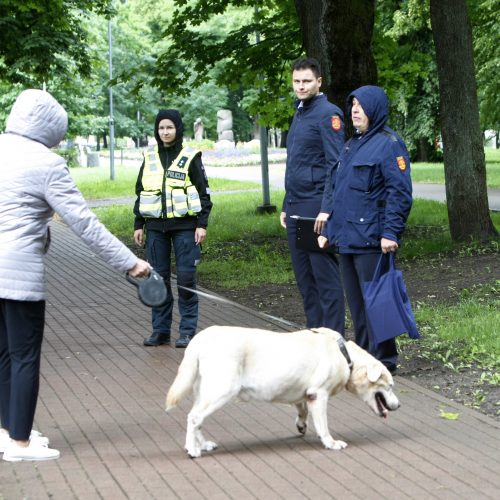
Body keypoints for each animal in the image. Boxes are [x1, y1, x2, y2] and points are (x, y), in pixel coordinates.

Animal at [166, 324, 400, 458]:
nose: (398, 405)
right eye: (389, 386)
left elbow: (302, 409)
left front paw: (301, 425)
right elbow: (323, 425)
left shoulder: (304, 393)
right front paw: (331, 443)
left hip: (205, 391)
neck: (345, 355)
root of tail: (199, 339)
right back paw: (193, 450)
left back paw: (203, 445)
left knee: (196, 418)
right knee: (194, 417)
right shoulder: (319, 394)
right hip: (221, 390)